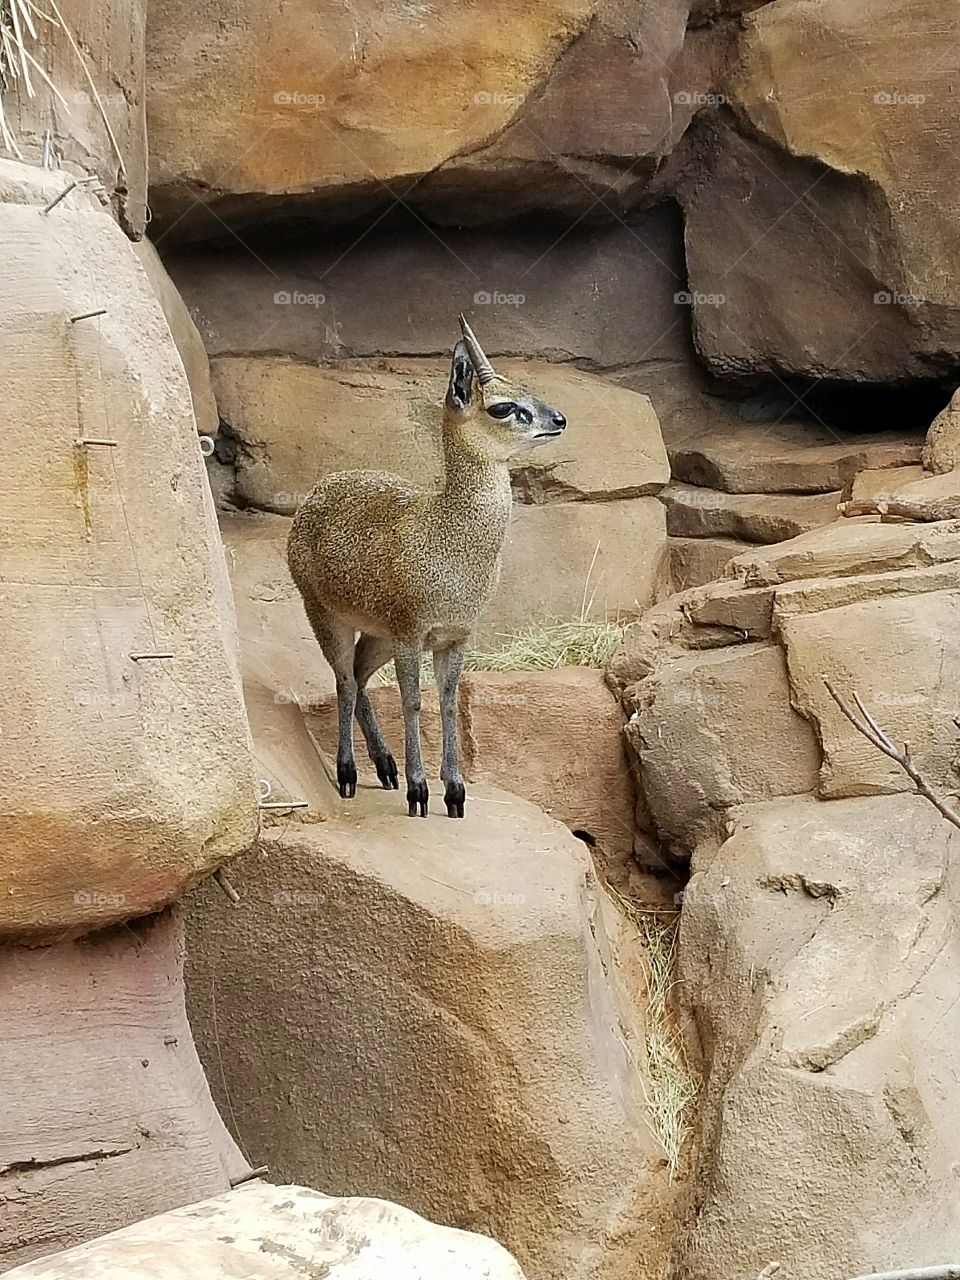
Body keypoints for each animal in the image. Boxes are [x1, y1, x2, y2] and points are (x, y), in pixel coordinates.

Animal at [287, 315, 568, 819]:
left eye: (526, 388)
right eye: (503, 406)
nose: (558, 419)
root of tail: (319, 490)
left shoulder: (453, 636)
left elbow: (449, 703)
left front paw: (454, 791)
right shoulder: (411, 633)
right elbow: (413, 702)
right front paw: (420, 790)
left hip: (376, 634)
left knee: (359, 677)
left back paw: (385, 768)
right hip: (326, 615)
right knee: (344, 680)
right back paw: (349, 773)